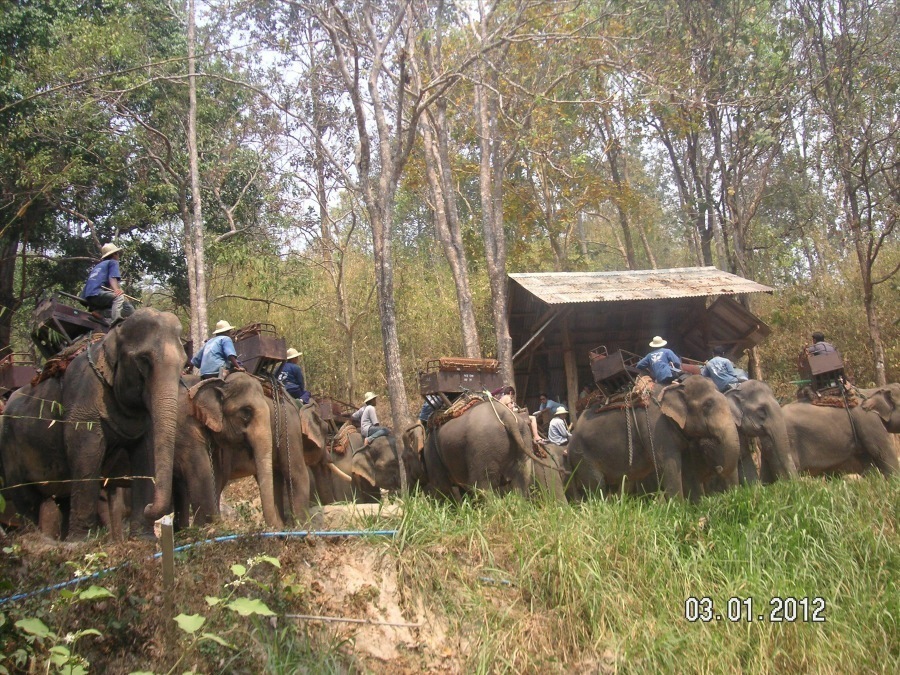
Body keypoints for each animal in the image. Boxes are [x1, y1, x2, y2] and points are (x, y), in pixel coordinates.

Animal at [0, 310, 184, 540]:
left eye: (183, 364)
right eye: (143, 360)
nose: (150, 508)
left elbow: (145, 454)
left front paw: (143, 539)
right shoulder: (82, 397)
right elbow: (87, 453)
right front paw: (82, 542)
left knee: (62, 498)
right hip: (10, 452)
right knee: (26, 500)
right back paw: (38, 539)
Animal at [568, 378, 740, 500]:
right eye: (707, 405)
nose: (719, 468)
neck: (673, 387)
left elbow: (687, 466)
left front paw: (697, 508)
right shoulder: (656, 428)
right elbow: (669, 465)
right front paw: (678, 510)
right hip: (583, 457)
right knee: (597, 488)